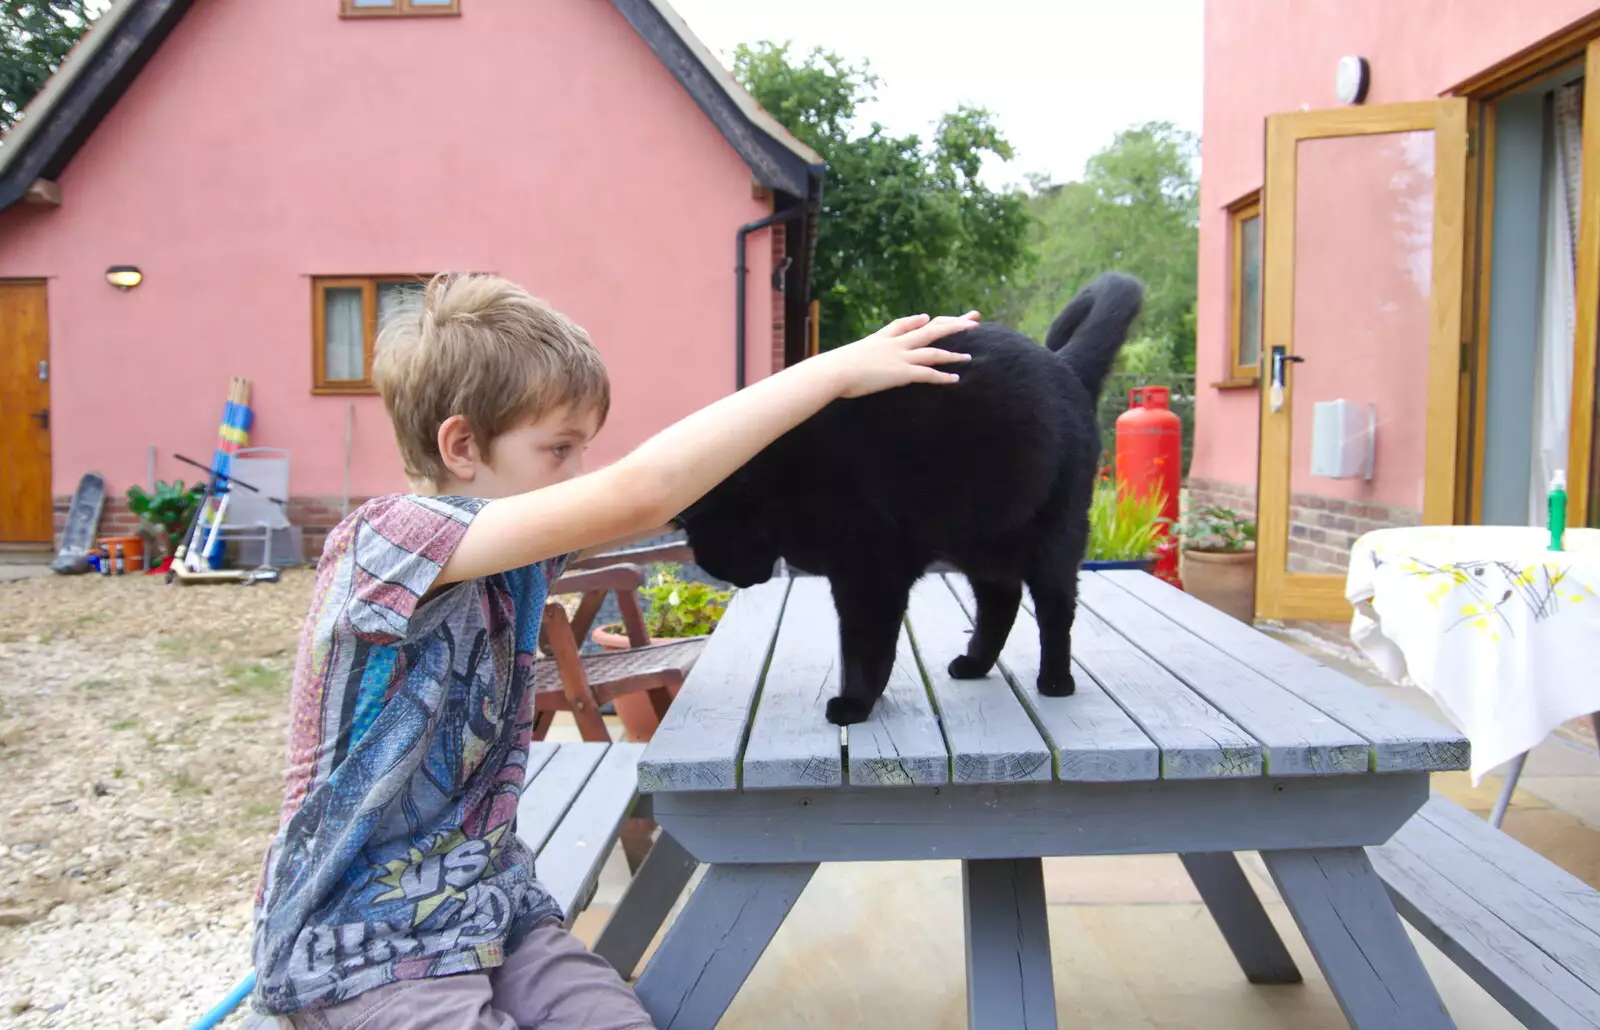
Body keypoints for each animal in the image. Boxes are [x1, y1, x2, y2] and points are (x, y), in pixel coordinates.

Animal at [668, 273, 1145, 722]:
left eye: (704, 541)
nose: (732, 578)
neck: (779, 481)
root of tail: (1063, 364)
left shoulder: (871, 570)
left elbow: (865, 645)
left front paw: (855, 703)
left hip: (1054, 534)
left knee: (1055, 607)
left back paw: (1056, 680)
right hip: (982, 539)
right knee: (1000, 602)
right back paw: (974, 664)